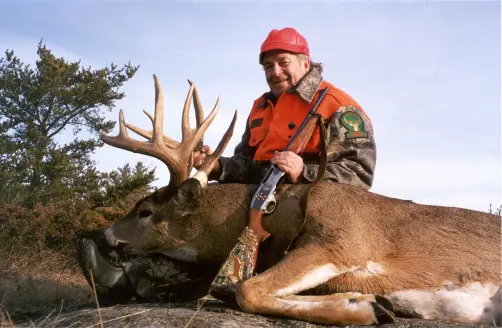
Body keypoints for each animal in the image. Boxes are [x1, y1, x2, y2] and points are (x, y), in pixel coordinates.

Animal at [99, 75, 502, 328]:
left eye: (146, 211)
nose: (106, 235)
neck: (280, 211)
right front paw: (371, 304)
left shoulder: (343, 241)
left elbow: (247, 289)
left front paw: (366, 310)